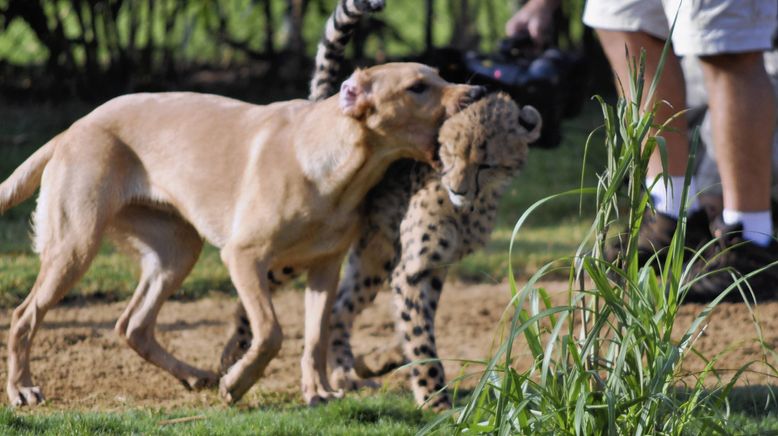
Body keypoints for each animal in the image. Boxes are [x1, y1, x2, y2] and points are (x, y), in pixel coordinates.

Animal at [1, 63, 484, 408]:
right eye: (418, 86)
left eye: (440, 75)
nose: (477, 93)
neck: (339, 167)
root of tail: (73, 128)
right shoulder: (243, 257)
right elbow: (270, 332)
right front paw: (238, 384)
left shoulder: (325, 270)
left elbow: (315, 339)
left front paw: (317, 392)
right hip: (76, 246)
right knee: (25, 316)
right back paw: (22, 389)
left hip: (178, 251)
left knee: (132, 325)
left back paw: (193, 375)